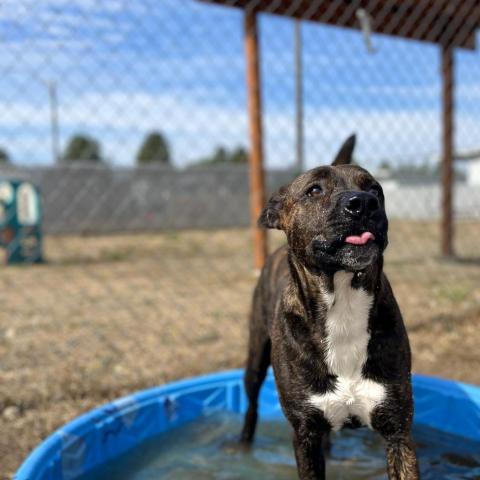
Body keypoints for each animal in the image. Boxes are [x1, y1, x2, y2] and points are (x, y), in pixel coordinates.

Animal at [242, 135, 418, 480]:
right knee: (251, 405)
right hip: (255, 358)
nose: (363, 203)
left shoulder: (399, 432)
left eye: (375, 189)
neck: (343, 303)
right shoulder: (305, 435)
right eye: (314, 190)